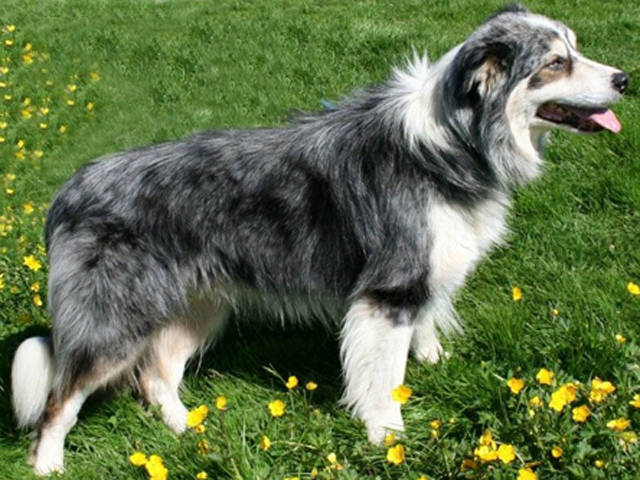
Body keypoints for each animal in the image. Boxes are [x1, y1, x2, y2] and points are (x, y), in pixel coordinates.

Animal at [12, 4, 629, 475]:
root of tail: (67, 192)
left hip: (197, 307)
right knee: (61, 399)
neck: (456, 142)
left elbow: (426, 331)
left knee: (156, 375)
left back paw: (185, 429)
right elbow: (384, 375)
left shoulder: (425, 275)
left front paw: (433, 363)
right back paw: (49, 464)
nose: (624, 79)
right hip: (112, 319)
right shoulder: (388, 292)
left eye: (575, 49)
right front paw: (388, 436)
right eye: (555, 63)